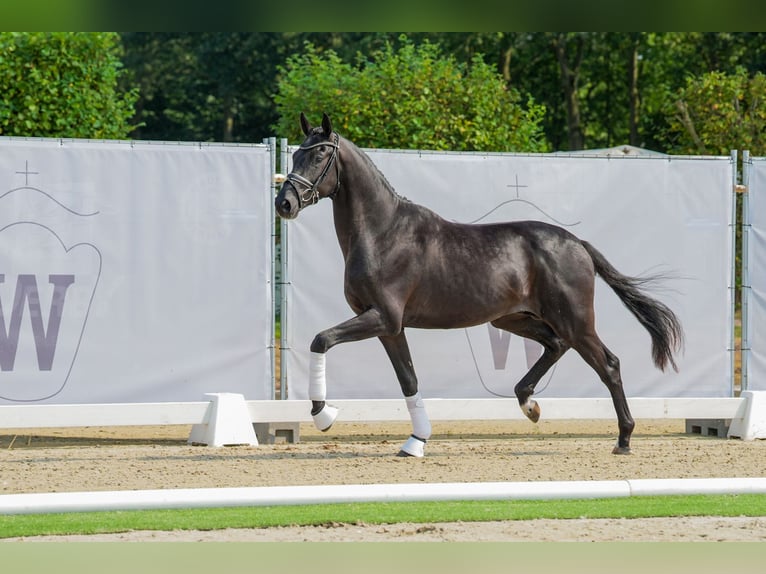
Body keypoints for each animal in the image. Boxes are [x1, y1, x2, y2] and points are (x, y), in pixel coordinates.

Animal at [276, 113, 684, 460]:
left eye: (320, 154)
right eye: (296, 153)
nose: (285, 203)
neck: (383, 233)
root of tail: (577, 243)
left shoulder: (382, 318)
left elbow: (321, 340)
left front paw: (324, 415)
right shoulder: (389, 327)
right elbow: (408, 379)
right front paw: (416, 442)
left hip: (575, 320)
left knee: (608, 364)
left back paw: (623, 439)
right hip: (513, 319)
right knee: (555, 345)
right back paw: (530, 405)